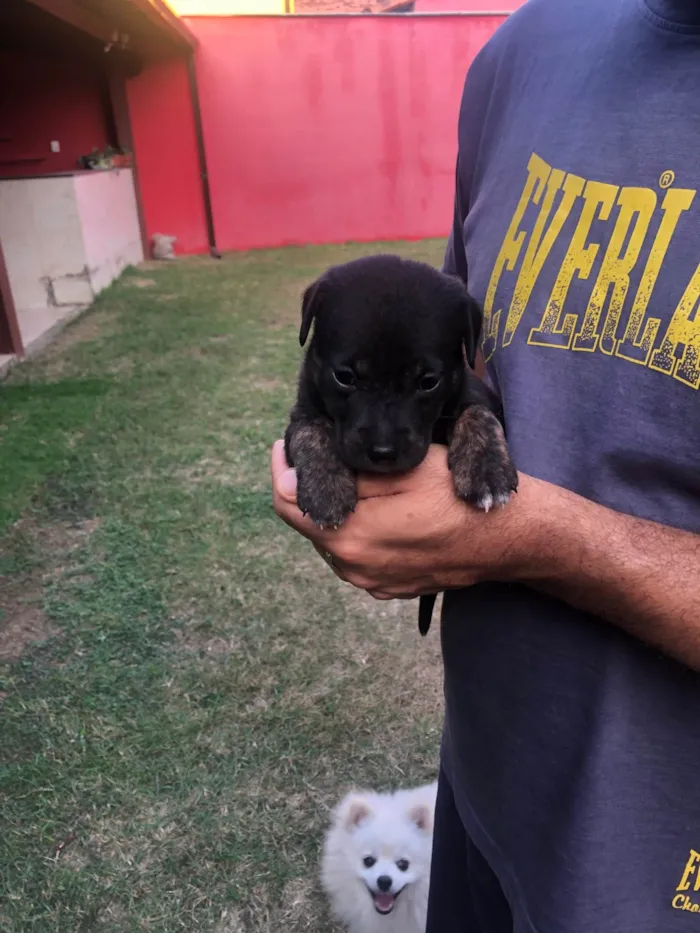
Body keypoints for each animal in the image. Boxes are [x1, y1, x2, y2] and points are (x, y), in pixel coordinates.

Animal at [282, 255, 516, 632]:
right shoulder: (300, 414)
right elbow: (311, 432)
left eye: (428, 382)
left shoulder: (474, 391)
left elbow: (477, 412)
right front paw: (326, 489)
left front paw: (487, 471)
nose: (383, 452)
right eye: (344, 377)